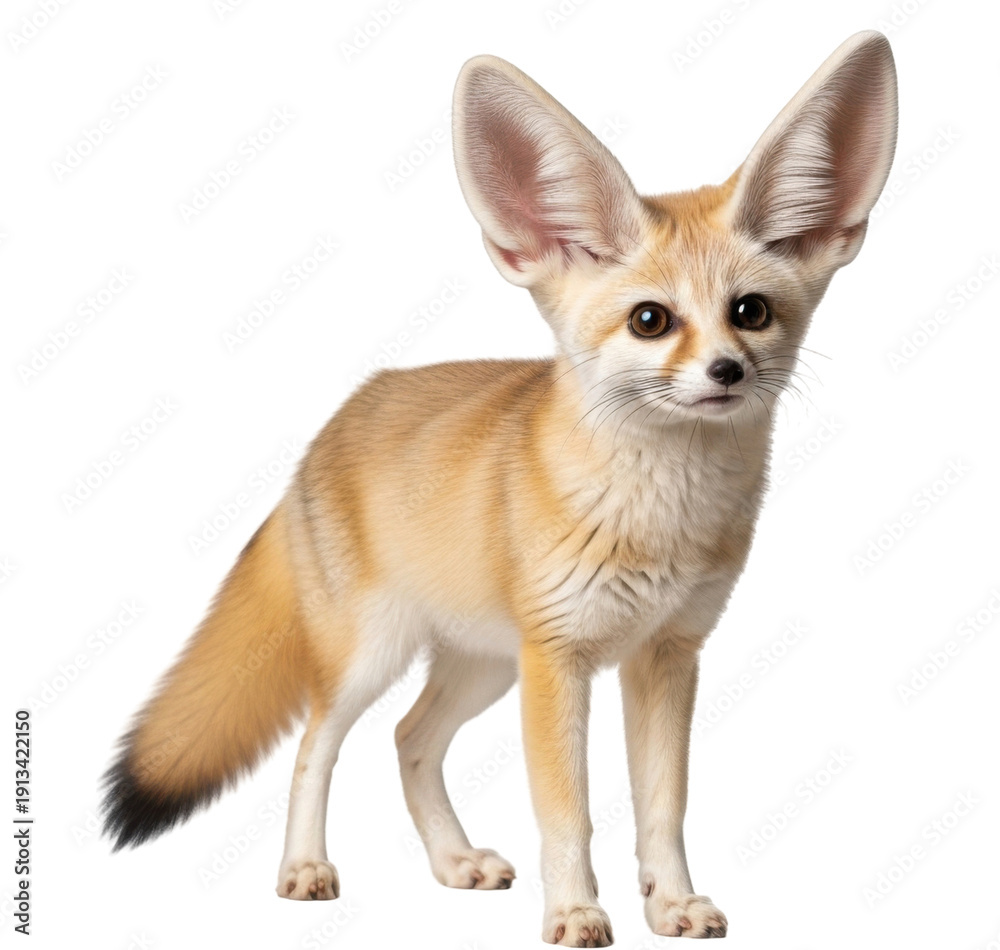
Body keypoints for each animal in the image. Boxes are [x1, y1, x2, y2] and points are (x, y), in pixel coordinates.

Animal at [102, 31, 897, 945]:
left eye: (751, 312)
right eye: (651, 321)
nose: (727, 372)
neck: (659, 522)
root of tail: (347, 409)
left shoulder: (667, 656)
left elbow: (663, 807)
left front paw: (671, 902)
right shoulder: (560, 661)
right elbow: (568, 813)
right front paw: (577, 911)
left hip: (481, 667)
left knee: (409, 738)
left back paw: (454, 862)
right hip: (374, 658)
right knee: (314, 747)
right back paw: (303, 869)